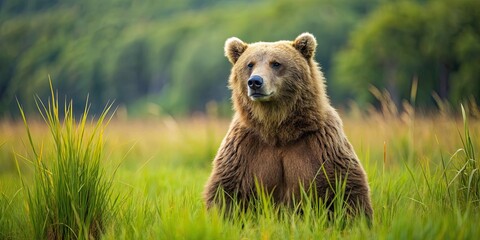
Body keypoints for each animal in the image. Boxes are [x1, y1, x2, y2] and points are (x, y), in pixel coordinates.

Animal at [204, 32, 374, 219]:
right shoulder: (245, 149)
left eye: (276, 63)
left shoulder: (321, 145)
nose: (255, 82)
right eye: (250, 64)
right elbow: (226, 192)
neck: (278, 129)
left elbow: (346, 189)